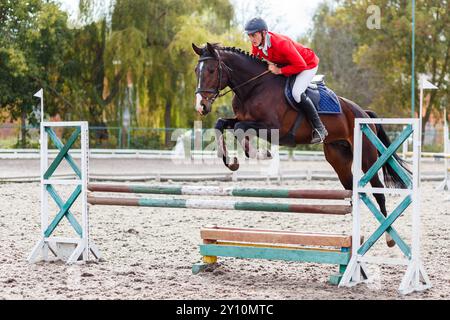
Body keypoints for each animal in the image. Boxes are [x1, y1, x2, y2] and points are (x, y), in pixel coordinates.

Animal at [192, 43, 410, 248]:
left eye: (211, 70)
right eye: (196, 70)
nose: (201, 106)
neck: (254, 87)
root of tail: (363, 113)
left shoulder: (272, 127)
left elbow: (239, 128)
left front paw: (260, 153)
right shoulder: (242, 120)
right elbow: (221, 123)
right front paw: (232, 163)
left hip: (367, 157)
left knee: (379, 190)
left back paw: (389, 238)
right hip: (339, 158)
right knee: (352, 189)